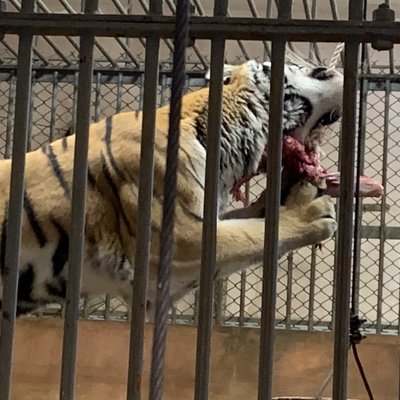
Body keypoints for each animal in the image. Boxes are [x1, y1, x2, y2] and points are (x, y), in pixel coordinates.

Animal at [0, 60, 344, 316]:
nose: (330, 71)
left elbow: (246, 223)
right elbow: (250, 234)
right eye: (311, 72)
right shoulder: (176, 235)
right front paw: (307, 210)